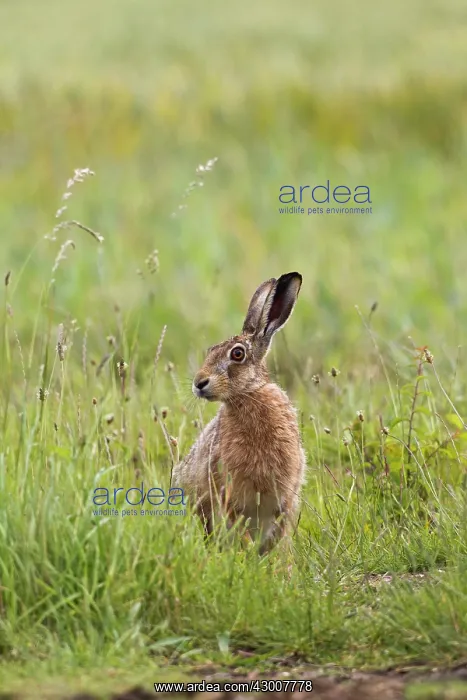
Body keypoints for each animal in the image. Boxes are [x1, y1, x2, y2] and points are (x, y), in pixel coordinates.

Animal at [171, 272, 306, 554]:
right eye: (210, 351)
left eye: (237, 354)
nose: (199, 383)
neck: (249, 394)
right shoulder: (227, 492)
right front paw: (251, 555)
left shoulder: (286, 498)